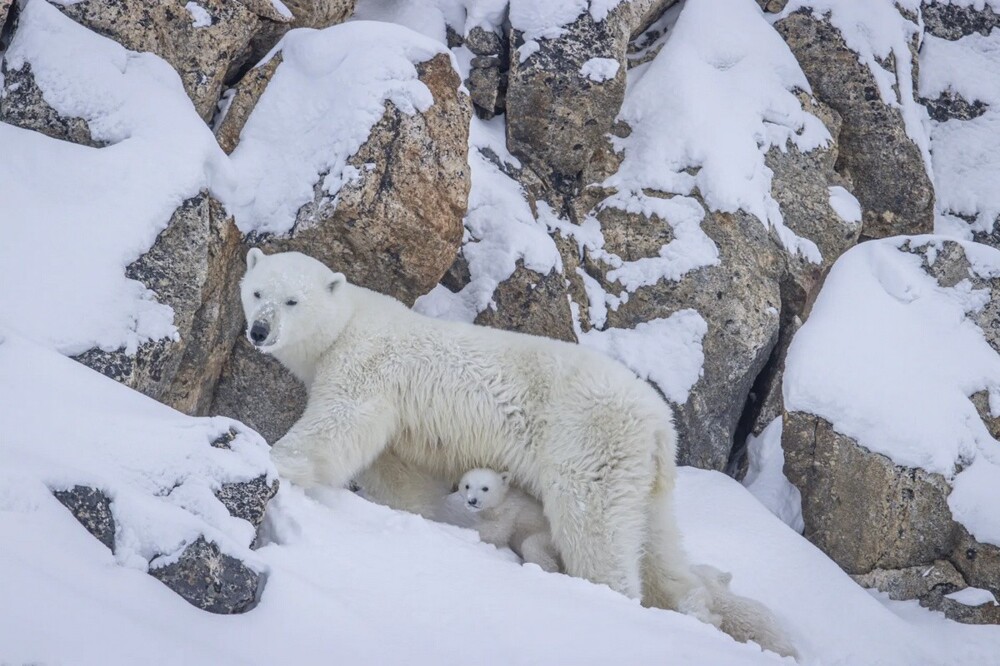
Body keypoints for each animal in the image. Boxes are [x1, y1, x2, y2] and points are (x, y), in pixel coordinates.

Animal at [240, 245, 796, 652]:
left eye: (293, 301)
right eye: (257, 291)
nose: (259, 330)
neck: (347, 322)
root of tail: (660, 423)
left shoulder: (365, 364)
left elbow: (339, 423)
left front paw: (269, 459)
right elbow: (398, 475)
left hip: (588, 444)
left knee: (596, 528)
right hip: (645, 478)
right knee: (658, 545)